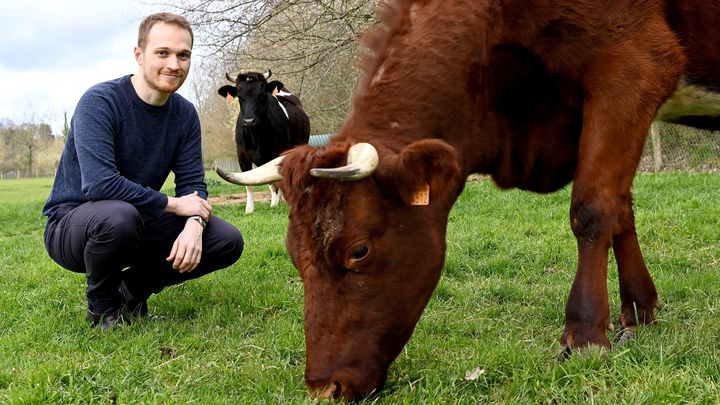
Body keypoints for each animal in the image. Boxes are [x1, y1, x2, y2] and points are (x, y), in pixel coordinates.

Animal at [218, 70, 310, 213]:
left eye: (261, 95)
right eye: (240, 97)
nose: (249, 121)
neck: (256, 136)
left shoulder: (275, 155)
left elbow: (273, 184)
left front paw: (274, 205)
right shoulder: (242, 156)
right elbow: (248, 181)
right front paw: (249, 209)